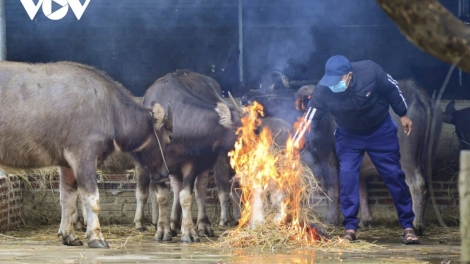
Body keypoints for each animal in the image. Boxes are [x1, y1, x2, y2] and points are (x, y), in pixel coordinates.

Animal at [0, 60, 173, 249]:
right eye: (168, 138)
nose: (165, 172)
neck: (109, 111)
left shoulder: (66, 164)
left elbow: (68, 200)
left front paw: (69, 236)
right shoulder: (84, 157)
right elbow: (92, 200)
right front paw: (96, 237)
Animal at [136, 69, 239, 242]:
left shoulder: (191, 163)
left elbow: (186, 196)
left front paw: (189, 232)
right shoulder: (155, 167)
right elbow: (162, 196)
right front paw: (162, 230)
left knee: (199, 189)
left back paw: (203, 225)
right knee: (173, 188)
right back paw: (171, 224)